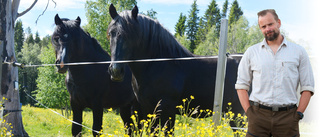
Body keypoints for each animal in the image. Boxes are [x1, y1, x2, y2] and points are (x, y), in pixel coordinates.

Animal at [107, 4, 242, 135]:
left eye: (130, 35)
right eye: (110, 34)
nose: (116, 71)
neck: (158, 65)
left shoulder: (167, 110)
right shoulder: (148, 110)